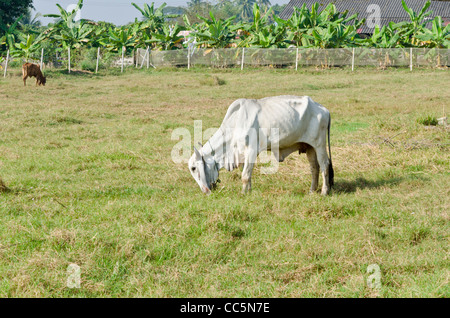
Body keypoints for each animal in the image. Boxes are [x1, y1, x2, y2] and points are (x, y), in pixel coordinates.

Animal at [187, 94, 334, 195]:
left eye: (193, 168)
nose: (205, 190)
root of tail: (324, 110)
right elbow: (248, 175)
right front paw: (249, 191)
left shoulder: (251, 151)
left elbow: (245, 175)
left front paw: (243, 194)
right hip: (310, 147)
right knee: (314, 168)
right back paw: (312, 191)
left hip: (320, 145)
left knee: (324, 166)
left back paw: (324, 192)